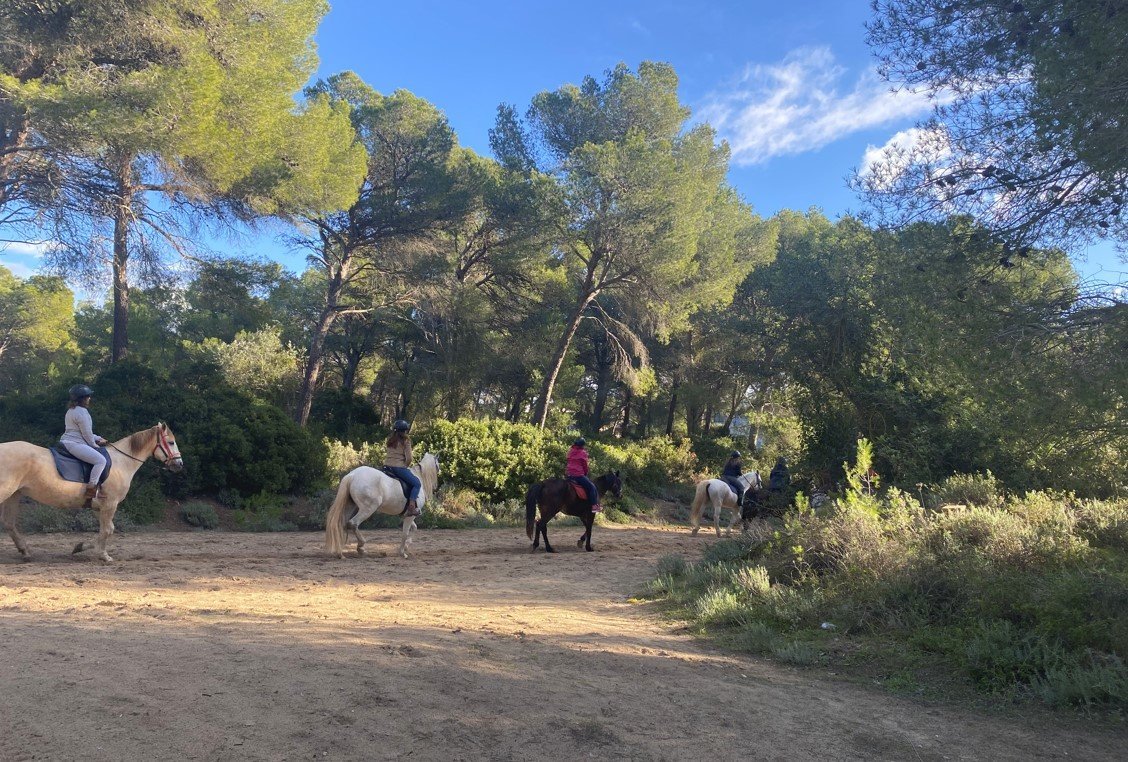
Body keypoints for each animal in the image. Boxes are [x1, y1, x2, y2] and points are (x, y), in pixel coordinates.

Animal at [0, 423, 184, 562]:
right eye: (171, 442)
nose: (179, 464)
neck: (121, 462)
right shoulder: (110, 504)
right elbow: (107, 530)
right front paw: (104, 556)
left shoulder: (99, 507)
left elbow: (107, 529)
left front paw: (79, 547)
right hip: (6, 492)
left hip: (14, 494)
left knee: (9, 523)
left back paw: (25, 551)